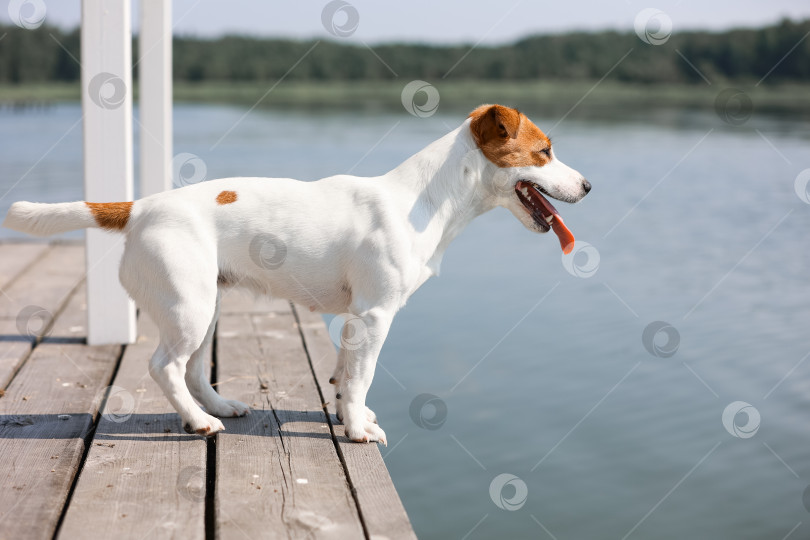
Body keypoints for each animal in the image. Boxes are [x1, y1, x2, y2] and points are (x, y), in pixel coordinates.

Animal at [3, 104, 592, 442]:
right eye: (544, 152)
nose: (588, 186)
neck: (424, 201)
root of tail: (139, 206)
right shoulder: (375, 314)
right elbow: (360, 377)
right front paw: (355, 430)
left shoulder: (356, 320)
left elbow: (345, 376)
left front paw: (353, 415)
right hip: (189, 309)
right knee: (164, 367)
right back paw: (199, 422)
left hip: (206, 307)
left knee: (192, 372)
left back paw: (220, 407)